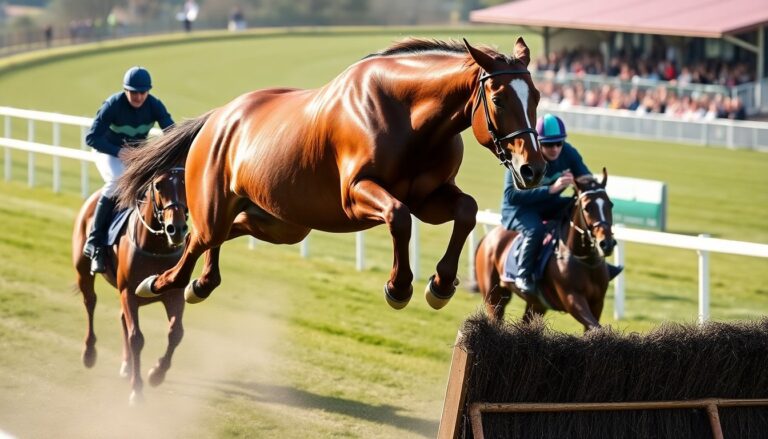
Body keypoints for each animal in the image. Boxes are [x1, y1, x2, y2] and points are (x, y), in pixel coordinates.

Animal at [72, 166, 188, 404]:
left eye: (185, 182)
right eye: (158, 185)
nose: (177, 228)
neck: (156, 248)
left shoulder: (174, 294)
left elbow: (176, 333)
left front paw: (156, 373)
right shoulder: (129, 293)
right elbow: (137, 338)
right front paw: (137, 389)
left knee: (121, 318)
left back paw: (126, 365)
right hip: (83, 270)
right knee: (90, 303)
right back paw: (89, 353)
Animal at [117, 37, 547, 311]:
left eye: (538, 97)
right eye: (499, 99)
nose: (533, 168)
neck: (408, 116)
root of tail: (218, 117)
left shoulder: (429, 197)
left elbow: (466, 211)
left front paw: (440, 285)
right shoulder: (357, 194)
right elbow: (398, 218)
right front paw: (399, 286)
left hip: (282, 224)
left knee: (224, 234)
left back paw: (201, 283)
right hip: (216, 207)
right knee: (198, 240)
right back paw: (159, 283)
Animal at [474, 169, 617, 331]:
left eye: (610, 204)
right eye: (587, 207)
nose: (606, 243)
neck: (584, 259)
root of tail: (488, 237)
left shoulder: (597, 302)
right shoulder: (573, 300)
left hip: (536, 304)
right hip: (494, 297)